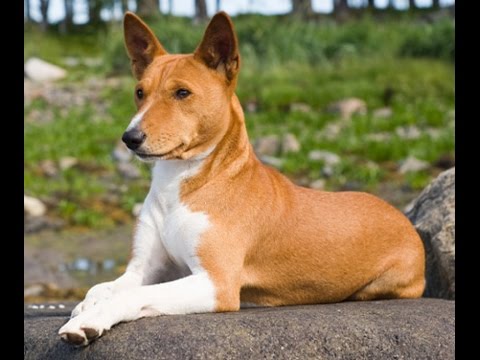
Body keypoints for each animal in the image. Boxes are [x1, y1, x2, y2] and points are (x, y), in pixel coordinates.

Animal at [59, 12, 424, 348]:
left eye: (182, 93)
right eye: (139, 92)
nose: (130, 138)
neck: (179, 186)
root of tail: (400, 215)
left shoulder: (215, 283)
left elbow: (131, 296)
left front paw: (90, 320)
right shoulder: (143, 270)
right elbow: (101, 287)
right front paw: (87, 305)